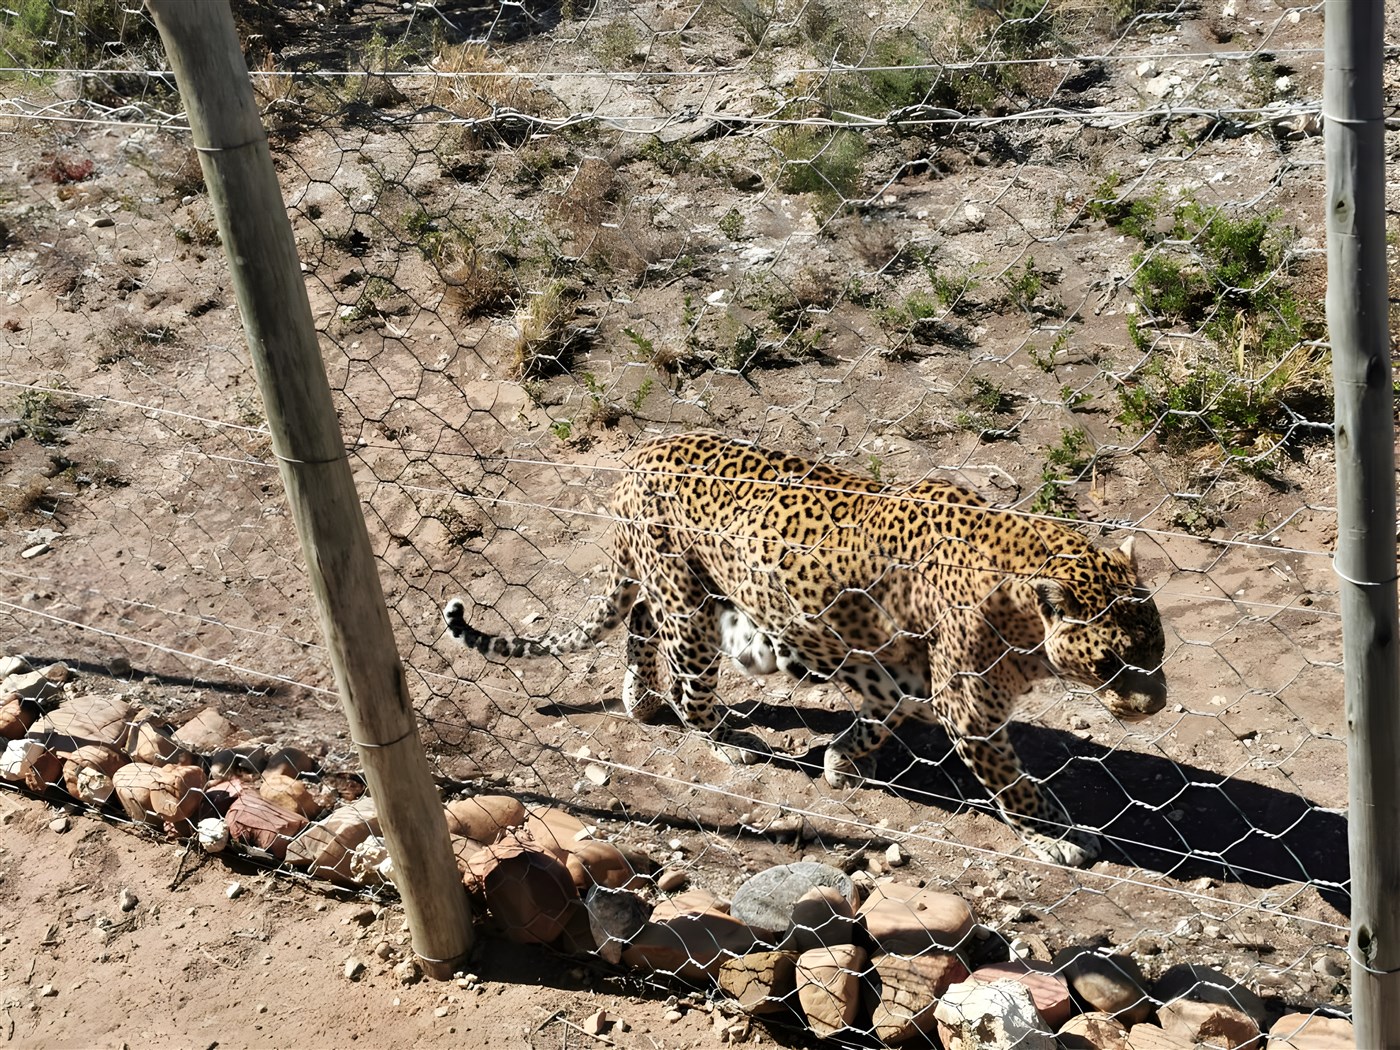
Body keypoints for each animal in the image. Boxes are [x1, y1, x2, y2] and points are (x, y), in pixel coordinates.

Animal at [442, 431, 1168, 866]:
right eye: (1112, 662)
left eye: (1157, 650)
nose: (1155, 706)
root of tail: (635, 457)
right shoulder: (969, 710)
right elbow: (1014, 787)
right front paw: (1055, 836)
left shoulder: (893, 672)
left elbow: (882, 717)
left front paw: (842, 761)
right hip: (690, 606)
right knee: (686, 680)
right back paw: (720, 738)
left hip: (677, 587)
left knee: (640, 623)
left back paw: (638, 700)